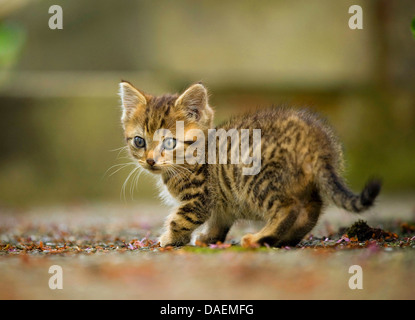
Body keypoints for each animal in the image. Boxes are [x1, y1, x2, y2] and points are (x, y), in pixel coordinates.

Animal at [118, 80, 382, 248]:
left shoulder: (200, 197)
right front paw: (208, 238)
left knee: (288, 208)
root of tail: (317, 140)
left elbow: (181, 218)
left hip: (256, 178)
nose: (150, 160)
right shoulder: (220, 202)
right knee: (310, 210)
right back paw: (282, 240)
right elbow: (219, 221)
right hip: (304, 185)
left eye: (170, 142)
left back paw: (258, 239)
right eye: (139, 141)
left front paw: (170, 239)